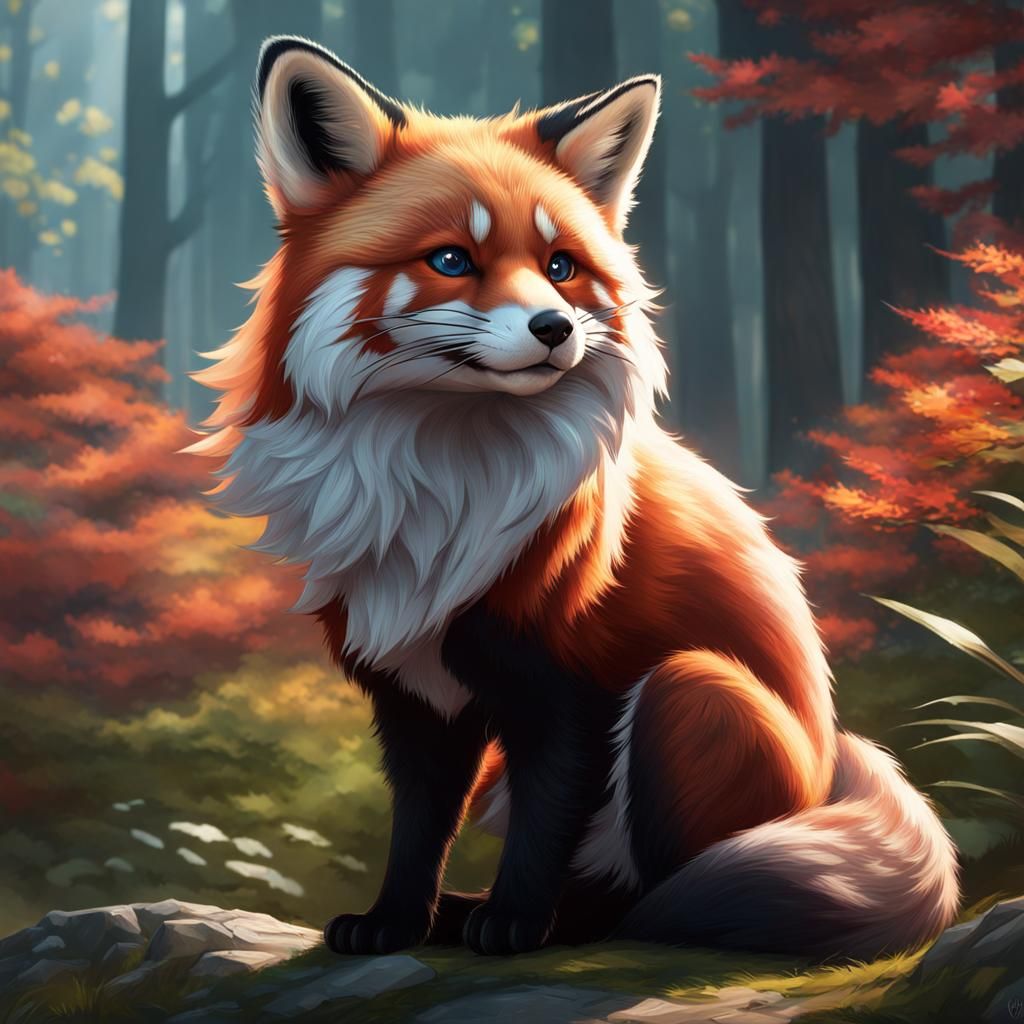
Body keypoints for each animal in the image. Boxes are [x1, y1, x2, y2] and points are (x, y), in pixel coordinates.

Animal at [189, 35, 960, 959]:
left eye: (560, 268)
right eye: (451, 259)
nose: (555, 328)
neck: (445, 498)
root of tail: (829, 767)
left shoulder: (577, 687)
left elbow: (545, 825)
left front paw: (517, 921)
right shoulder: (416, 696)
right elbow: (416, 829)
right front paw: (394, 922)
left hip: (685, 690)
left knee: (650, 899)